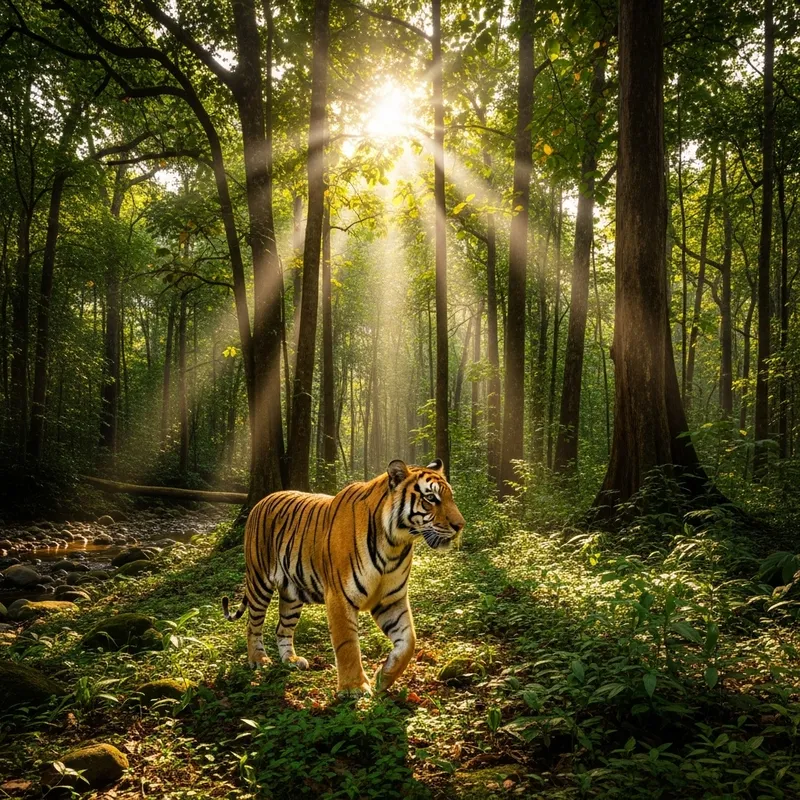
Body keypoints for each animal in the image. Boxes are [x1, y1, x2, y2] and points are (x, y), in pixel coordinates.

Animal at [222, 458, 465, 696]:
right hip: (259, 581)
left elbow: (408, 641)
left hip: (292, 594)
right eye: (431, 498)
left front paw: (383, 678)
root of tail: (261, 501)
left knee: (282, 628)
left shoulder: (391, 599)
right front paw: (353, 687)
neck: (395, 543)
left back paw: (291, 660)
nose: (460, 526)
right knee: (253, 624)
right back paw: (259, 660)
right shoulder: (340, 596)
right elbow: (347, 644)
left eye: (450, 497)